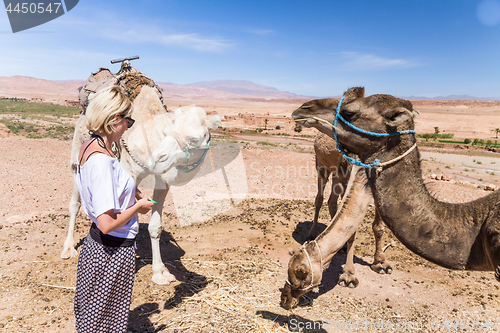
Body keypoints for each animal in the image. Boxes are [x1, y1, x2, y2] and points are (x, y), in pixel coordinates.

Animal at [282, 87, 500, 308]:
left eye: (349, 112)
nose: (304, 107)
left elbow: (378, 226)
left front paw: (380, 262)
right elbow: (353, 230)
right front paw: (349, 275)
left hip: (338, 173)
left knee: (332, 202)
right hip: (322, 166)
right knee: (320, 198)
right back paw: (312, 233)